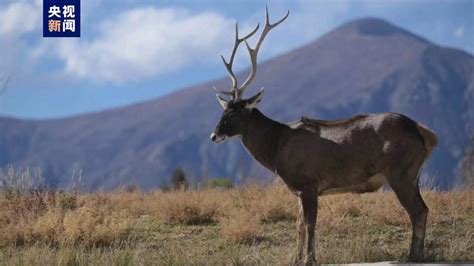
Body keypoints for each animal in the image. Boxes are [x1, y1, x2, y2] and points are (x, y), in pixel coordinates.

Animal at [209, 7, 438, 264]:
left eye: (233, 112)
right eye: (222, 110)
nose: (214, 135)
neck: (277, 147)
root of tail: (427, 134)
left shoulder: (309, 183)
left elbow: (310, 224)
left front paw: (310, 259)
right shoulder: (299, 190)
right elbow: (298, 225)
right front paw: (296, 259)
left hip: (401, 172)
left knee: (418, 211)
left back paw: (414, 255)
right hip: (413, 175)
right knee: (423, 209)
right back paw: (416, 254)